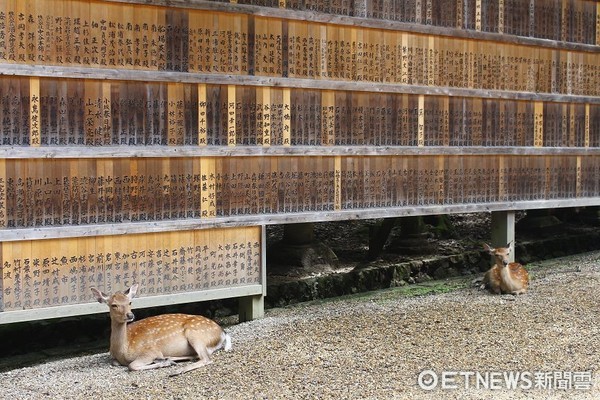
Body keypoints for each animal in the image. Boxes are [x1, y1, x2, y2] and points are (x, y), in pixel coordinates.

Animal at [91, 284, 232, 376]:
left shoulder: (150, 351)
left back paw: (175, 370)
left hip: (195, 333)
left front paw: (163, 363)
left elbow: (132, 366)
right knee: (197, 355)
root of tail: (222, 332)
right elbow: (116, 363)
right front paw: (164, 361)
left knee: (206, 358)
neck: (123, 350)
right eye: (114, 305)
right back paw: (168, 360)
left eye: (130, 302)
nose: (130, 315)